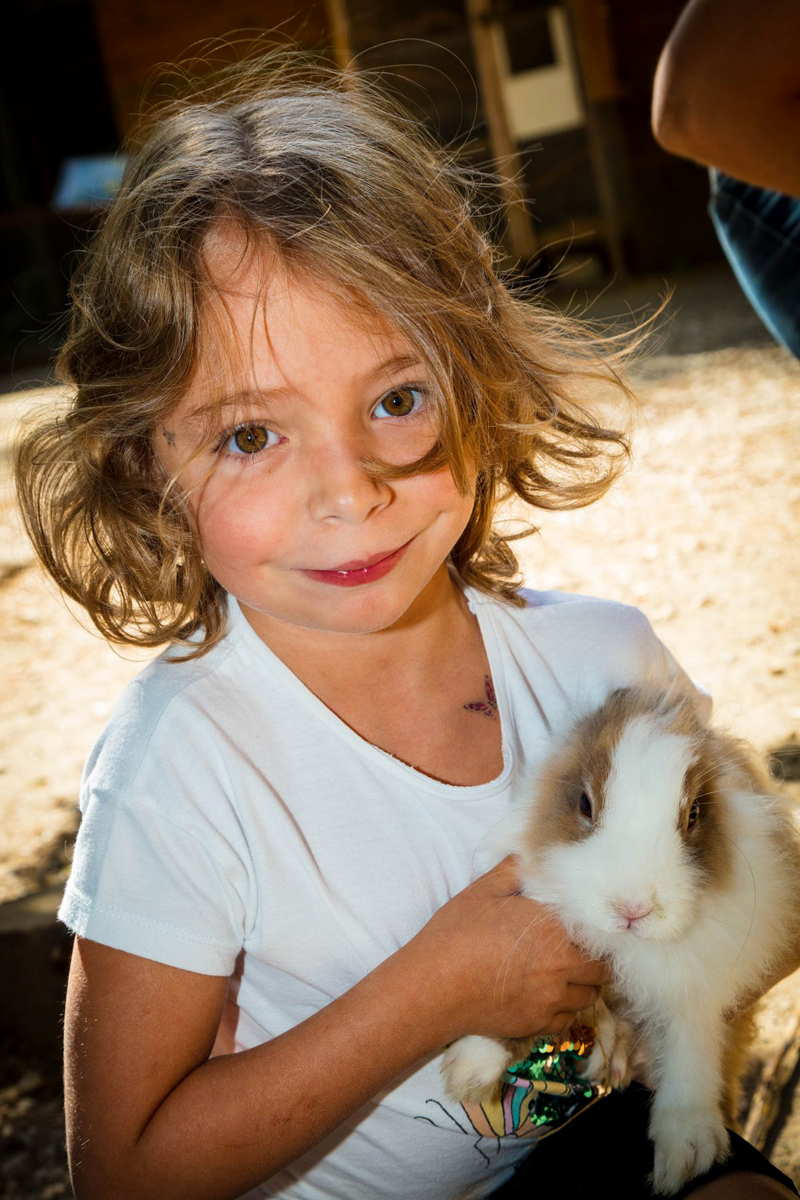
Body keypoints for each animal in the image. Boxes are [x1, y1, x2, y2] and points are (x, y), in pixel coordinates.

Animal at [441, 691, 800, 1195]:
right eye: (585, 803)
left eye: (694, 814)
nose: (632, 908)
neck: (631, 948)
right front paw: (470, 1068)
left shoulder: (703, 978)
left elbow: (691, 1041)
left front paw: (687, 1149)